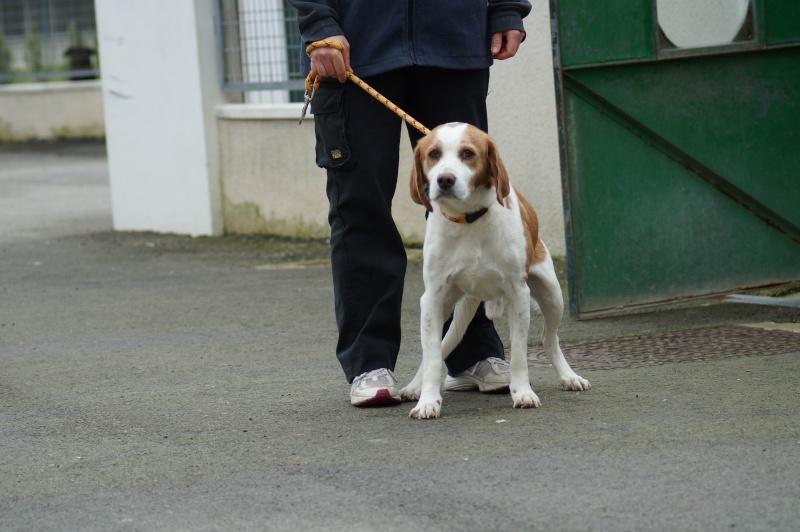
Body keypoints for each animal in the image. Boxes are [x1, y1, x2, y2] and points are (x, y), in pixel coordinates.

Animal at [398, 123, 588, 420]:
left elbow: (520, 355)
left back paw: (568, 376)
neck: (469, 221)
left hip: (553, 295)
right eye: (433, 154)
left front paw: (522, 393)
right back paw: (414, 387)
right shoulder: (432, 298)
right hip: (448, 305)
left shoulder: (518, 294)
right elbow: (432, 358)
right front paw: (427, 400)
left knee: (549, 338)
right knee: (436, 351)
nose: (445, 180)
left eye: (468, 153)